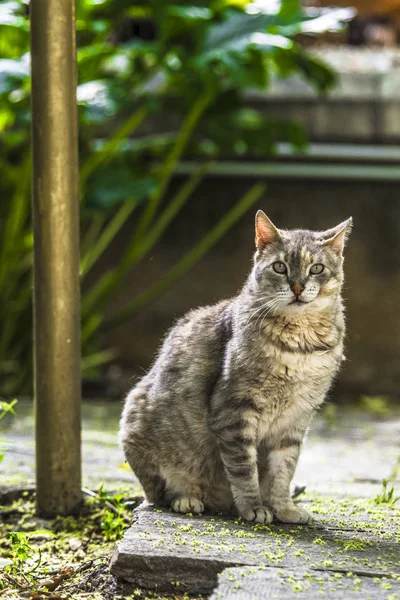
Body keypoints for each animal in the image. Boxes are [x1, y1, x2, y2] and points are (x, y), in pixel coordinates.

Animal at [120, 212, 352, 524]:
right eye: (280, 267)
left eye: (316, 268)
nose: (298, 287)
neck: (299, 346)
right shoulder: (234, 410)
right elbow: (243, 469)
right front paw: (254, 507)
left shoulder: (296, 419)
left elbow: (283, 471)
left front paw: (284, 509)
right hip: (139, 425)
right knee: (161, 493)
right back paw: (188, 499)